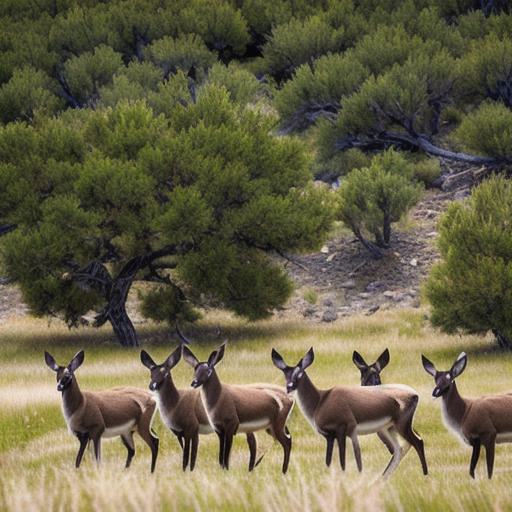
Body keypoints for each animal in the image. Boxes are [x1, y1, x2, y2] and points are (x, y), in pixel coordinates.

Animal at [140, 344, 260, 472]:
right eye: (151, 373)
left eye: (166, 373)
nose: (152, 385)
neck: (175, 405)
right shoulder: (179, 433)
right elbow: (188, 454)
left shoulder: (191, 427)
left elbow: (188, 455)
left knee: (251, 441)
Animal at [182, 342, 294, 474]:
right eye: (195, 369)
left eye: (208, 370)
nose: (194, 382)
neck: (218, 399)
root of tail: (291, 399)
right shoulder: (219, 429)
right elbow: (221, 454)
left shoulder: (231, 426)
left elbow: (226, 453)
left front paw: (226, 470)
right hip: (270, 428)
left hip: (277, 426)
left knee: (286, 442)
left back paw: (283, 472)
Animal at [272, 346, 428, 478]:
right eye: (285, 373)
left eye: (300, 374)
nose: (289, 387)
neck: (320, 401)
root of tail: (414, 394)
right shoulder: (330, 436)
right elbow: (329, 461)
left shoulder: (341, 430)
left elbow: (342, 460)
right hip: (388, 429)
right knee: (398, 449)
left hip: (401, 426)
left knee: (417, 442)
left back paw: (424, 476)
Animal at [422, 352, 512, 480]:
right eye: (435, 378)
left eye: (449, 378)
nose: (435, 392)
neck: (463, 414)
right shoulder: (475, 441)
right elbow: (471, 469)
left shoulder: (489, 433)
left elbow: (489, 468)